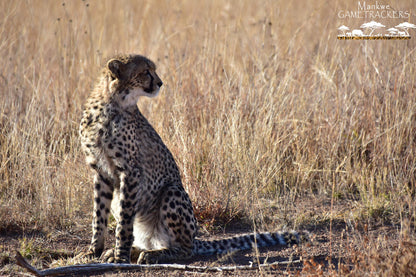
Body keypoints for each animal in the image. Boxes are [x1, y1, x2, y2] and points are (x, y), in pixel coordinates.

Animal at [79, 54, 308, 264]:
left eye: (152, 70)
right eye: (145, 72)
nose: (160, 83)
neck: (111, 103)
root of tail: (195, 237)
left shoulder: (130, 171)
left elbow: (124, 222)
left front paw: (121, 256)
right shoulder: (101, 172)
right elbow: (99, 216)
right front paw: (94, 251)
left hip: (172, 191)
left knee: (185, 248)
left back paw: (154, 254)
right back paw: (137, 250)